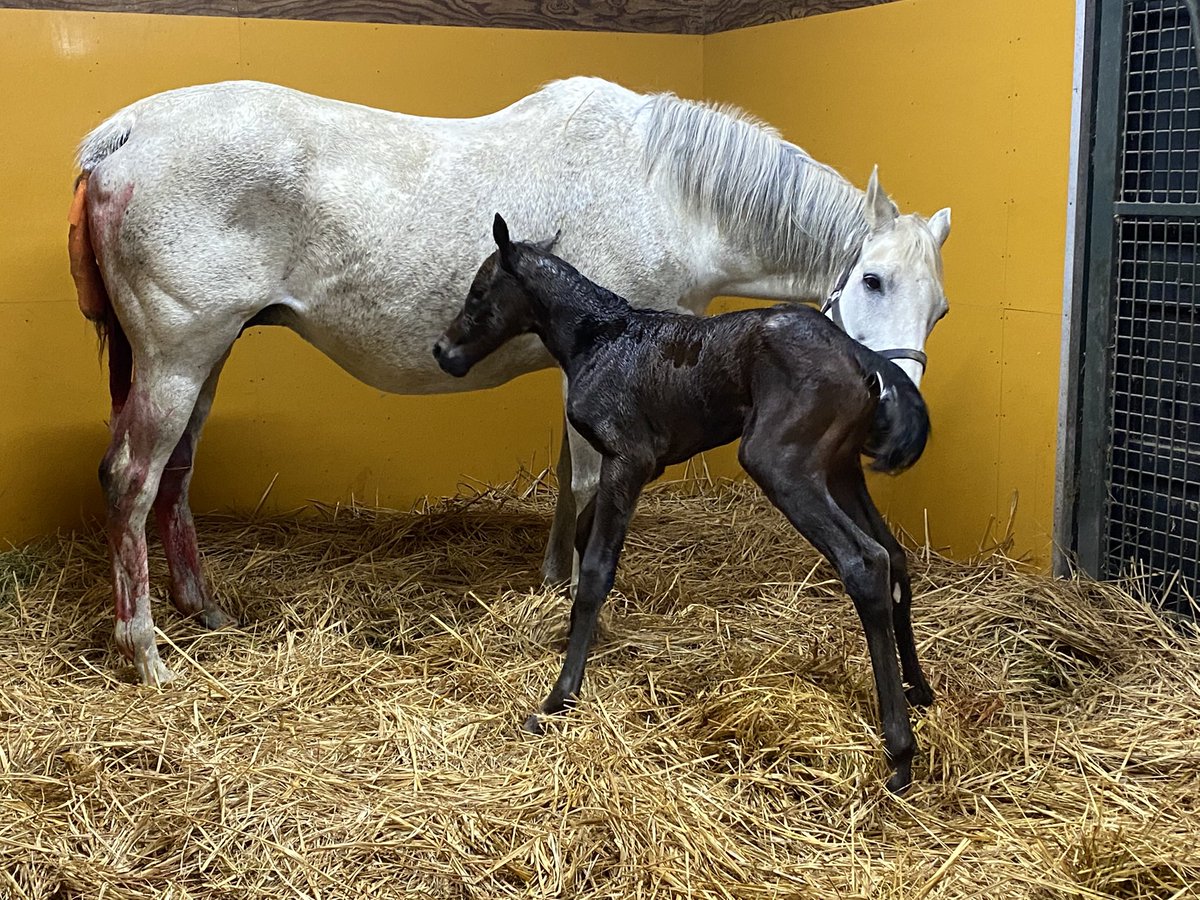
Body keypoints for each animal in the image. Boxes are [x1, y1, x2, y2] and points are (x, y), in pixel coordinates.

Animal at [69, 76, 951, 685]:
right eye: (872, 280)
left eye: (939, 308)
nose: (896, 407)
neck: (662, 190)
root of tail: (122, 136)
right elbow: (591, 483)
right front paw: (577, 598)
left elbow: (568, 474)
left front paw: (554, 575)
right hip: (177, 356)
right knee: (132, 480)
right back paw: (146, 653)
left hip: (205, 357)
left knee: (175, 476)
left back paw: (202, 609)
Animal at [435, 214, 933, 793]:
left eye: (478, 291)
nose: (443, 351)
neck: (599, 339)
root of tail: (862, 358)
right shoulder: (642, 466)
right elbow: (583, 535)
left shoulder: (627, 458)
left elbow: (598, 569)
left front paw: (559, 698)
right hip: (840, 469)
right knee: (893, 554)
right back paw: (919, 690)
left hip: (782, 464)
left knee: (865, 562)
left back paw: (900, 751)